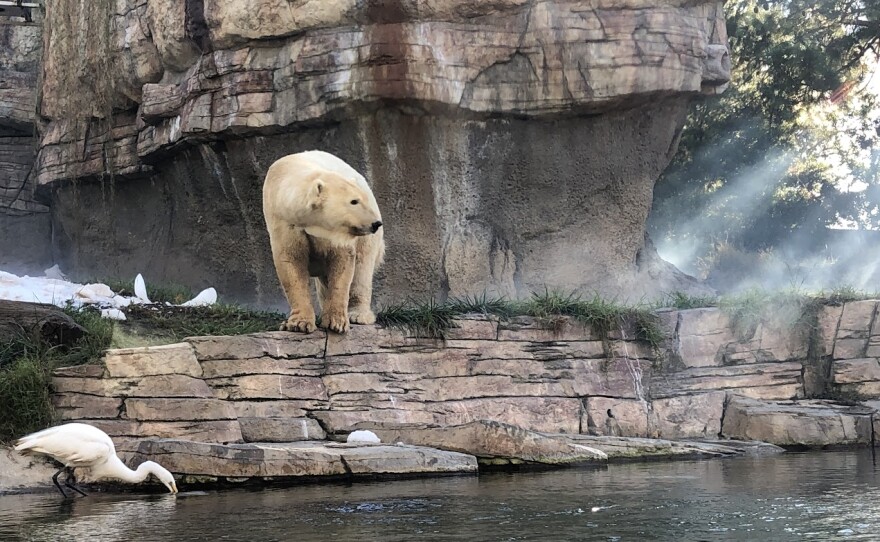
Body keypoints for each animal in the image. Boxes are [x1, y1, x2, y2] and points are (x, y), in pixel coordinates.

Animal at [262, 150, 385, 334]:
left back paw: (358, 315)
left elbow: (342, 260)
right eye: (354, 201)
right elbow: (291, 262)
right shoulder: (282, 220)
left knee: (362, 269)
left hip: (369, 240)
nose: (375, 223)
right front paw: (298, 323)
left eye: (361, 199)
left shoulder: (336, 234)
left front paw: (337, 322)